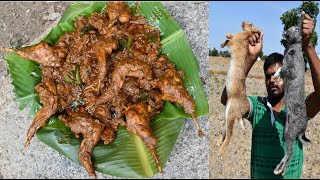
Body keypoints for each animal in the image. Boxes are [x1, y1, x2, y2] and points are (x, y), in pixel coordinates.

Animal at [216, 21, 262, 155]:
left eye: (250, 24)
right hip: (227, 114)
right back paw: (218, 143)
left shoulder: (236, 42)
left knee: (230, 134)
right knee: (226, 132)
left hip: (231, 114)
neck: (248, 35)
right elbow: (228, 41)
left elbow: (230, 40)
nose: (243, 22)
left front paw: (227, 36)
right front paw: (222, 43)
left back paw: (221, 151)